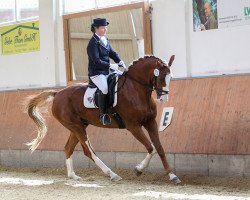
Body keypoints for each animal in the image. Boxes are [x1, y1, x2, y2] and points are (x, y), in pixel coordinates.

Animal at [25, 54, 181, 184]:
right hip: (77, 127)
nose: (164, 98)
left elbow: (159, 148)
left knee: (68, 148)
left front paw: (173, 176)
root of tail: (58, 94)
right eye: (161, 77)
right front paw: (138, 169)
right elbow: (151, 148)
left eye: (170, 77)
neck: (135, 89)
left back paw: (73, 176)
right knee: (88, 151)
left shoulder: (150, 122)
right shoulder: (133, 126)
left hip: (77, 126)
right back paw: (112, 174)